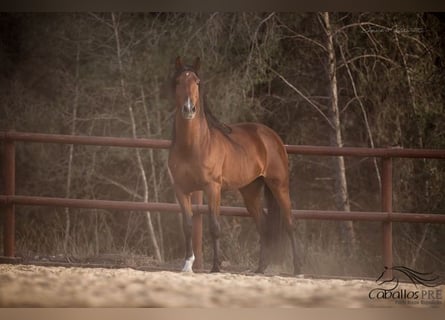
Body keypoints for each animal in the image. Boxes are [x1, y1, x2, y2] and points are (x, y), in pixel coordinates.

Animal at [168, 55, 300, 276]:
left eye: (197, 82)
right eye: (178, 82)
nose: (188, 109)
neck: (193, 145)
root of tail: (271, 136)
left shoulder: (213, 188)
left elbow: (214, 226)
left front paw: (216, 266)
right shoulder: (181, 190)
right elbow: (187, 226)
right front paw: (187, 265)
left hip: (279, 185)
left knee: (290, 223)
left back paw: (298, 268)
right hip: (250, 191)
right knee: (263, 226)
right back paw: (260, 268)